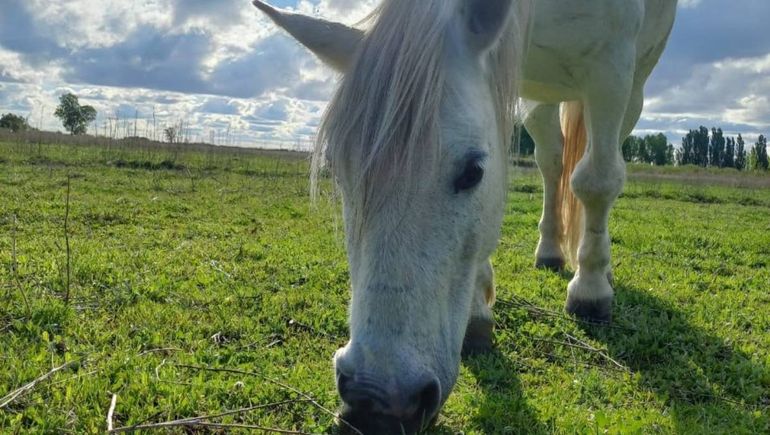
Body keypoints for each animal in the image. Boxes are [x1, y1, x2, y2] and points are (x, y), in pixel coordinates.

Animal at [252, 0, 677, 432]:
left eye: (473, 171)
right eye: (338, 170)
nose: (376, 404)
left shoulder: (612, 69)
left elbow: (597, 181)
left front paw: (590, 290)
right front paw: (478, 310)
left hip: (632, 85)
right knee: (552, 161)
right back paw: (550, 250)